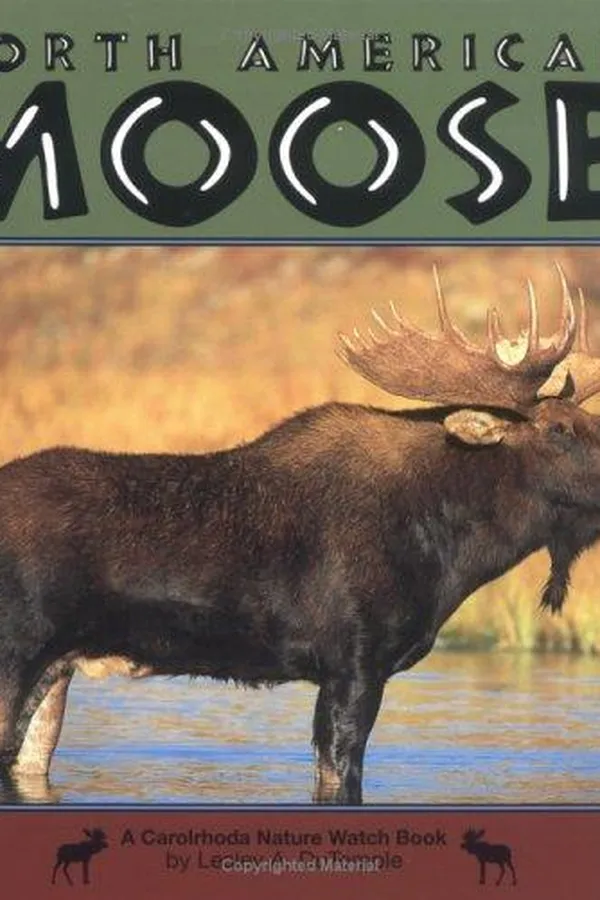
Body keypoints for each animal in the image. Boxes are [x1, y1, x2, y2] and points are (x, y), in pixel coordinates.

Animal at [0, 265, 599, 805]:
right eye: (558, 428)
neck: (450, 554)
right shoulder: (353, 664)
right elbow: (339, 779)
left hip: (55, 670)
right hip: (17, 651)